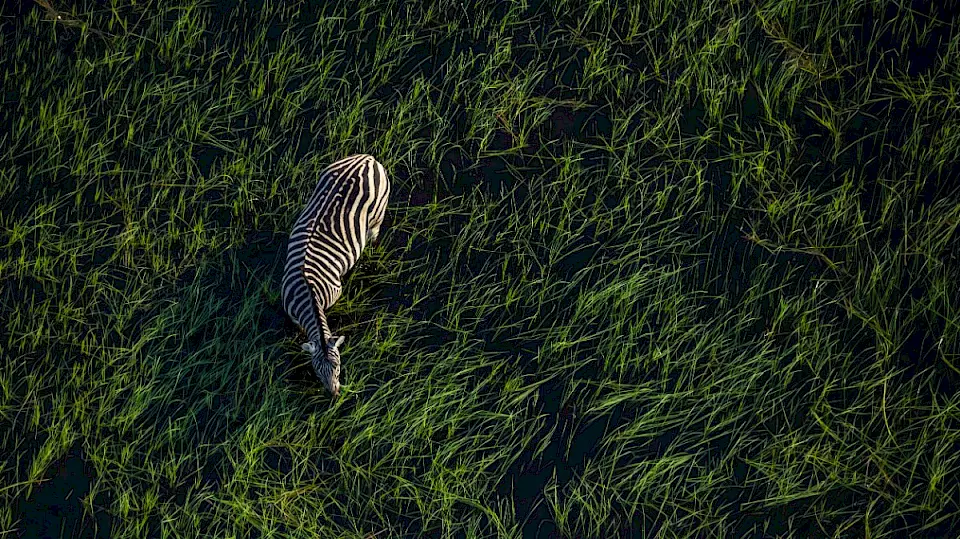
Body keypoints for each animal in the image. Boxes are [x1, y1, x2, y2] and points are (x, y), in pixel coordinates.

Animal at [281, 153, 390, 398]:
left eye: (339, 366)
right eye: (316, 370)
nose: (334, 395)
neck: (308, 291)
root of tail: (367, 159)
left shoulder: (334, 297)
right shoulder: (295, 317)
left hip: (377, 218)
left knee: (374, 237)